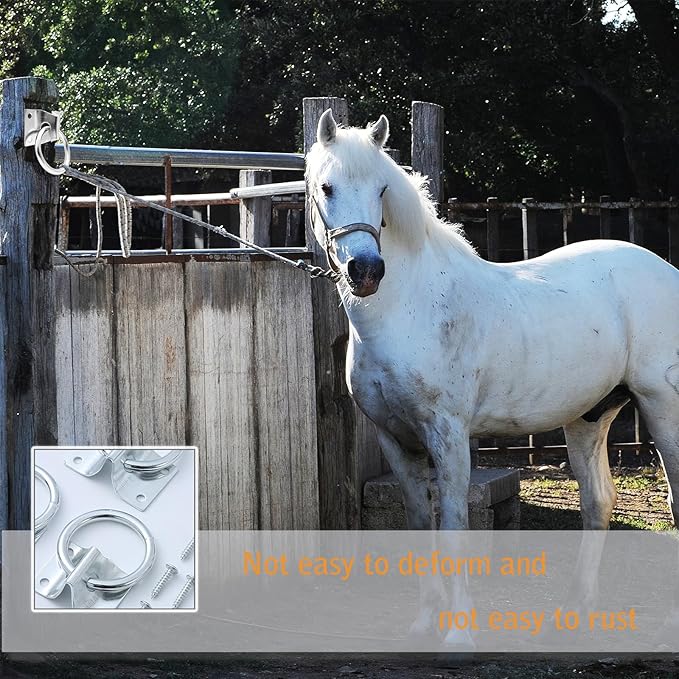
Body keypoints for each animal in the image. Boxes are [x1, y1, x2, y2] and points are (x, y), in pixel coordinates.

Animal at [305, 109, 679, 645]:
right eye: (327, 186)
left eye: (381, 189)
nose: (367, 270)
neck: (407, 308)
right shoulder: (395, 439)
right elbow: (419, 523)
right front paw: (424, 621)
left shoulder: (448, 434)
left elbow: (455, 527)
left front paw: (459, 633)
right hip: (590, 417)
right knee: (598, 502)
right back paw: (574, 610)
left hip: (662, 407)